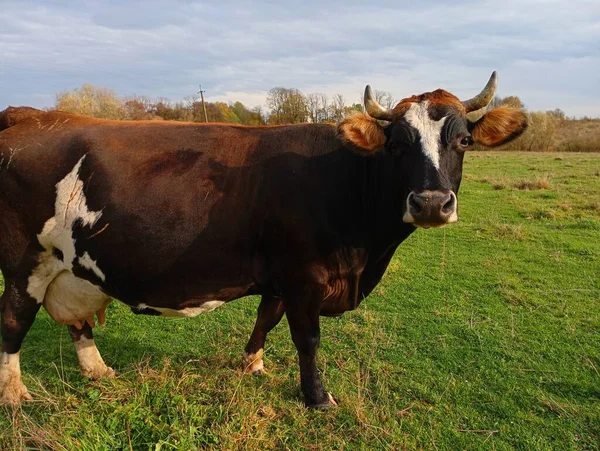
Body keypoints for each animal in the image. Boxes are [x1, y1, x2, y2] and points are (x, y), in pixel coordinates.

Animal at [0, 72, 524, 408]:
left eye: (463, 141)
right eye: (396, 144)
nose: (432, 203)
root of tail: (34, 117)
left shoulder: (281, 276)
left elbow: (265, 320)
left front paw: (251, 364)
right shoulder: (305, 276)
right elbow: (307, 338)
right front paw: (318, 398)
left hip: (71, 264)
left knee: (77, 322)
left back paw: (98, 371)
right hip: (26, 262)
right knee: (13, 322)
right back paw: (15, 395)